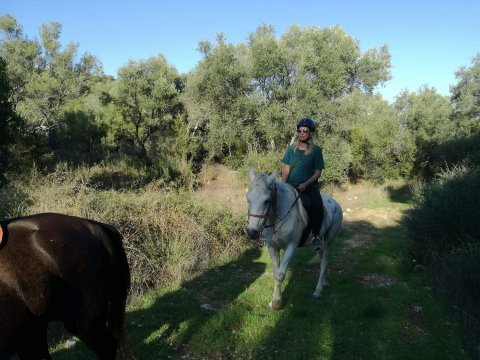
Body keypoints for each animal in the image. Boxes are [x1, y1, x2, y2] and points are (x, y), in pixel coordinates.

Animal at [246, 167, 344, 308]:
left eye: (267, 201)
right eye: (248, 199)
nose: (251, 232)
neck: (278, 217)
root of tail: (336, 204)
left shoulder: (291, 246)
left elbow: (281, 274)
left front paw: (277, 303)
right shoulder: (272, 247)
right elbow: (276, 273)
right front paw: (273, 301)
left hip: (329, 240)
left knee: (324, 262)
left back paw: (318, 291)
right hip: (320, 243)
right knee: (322, 259)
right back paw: (325, 282)